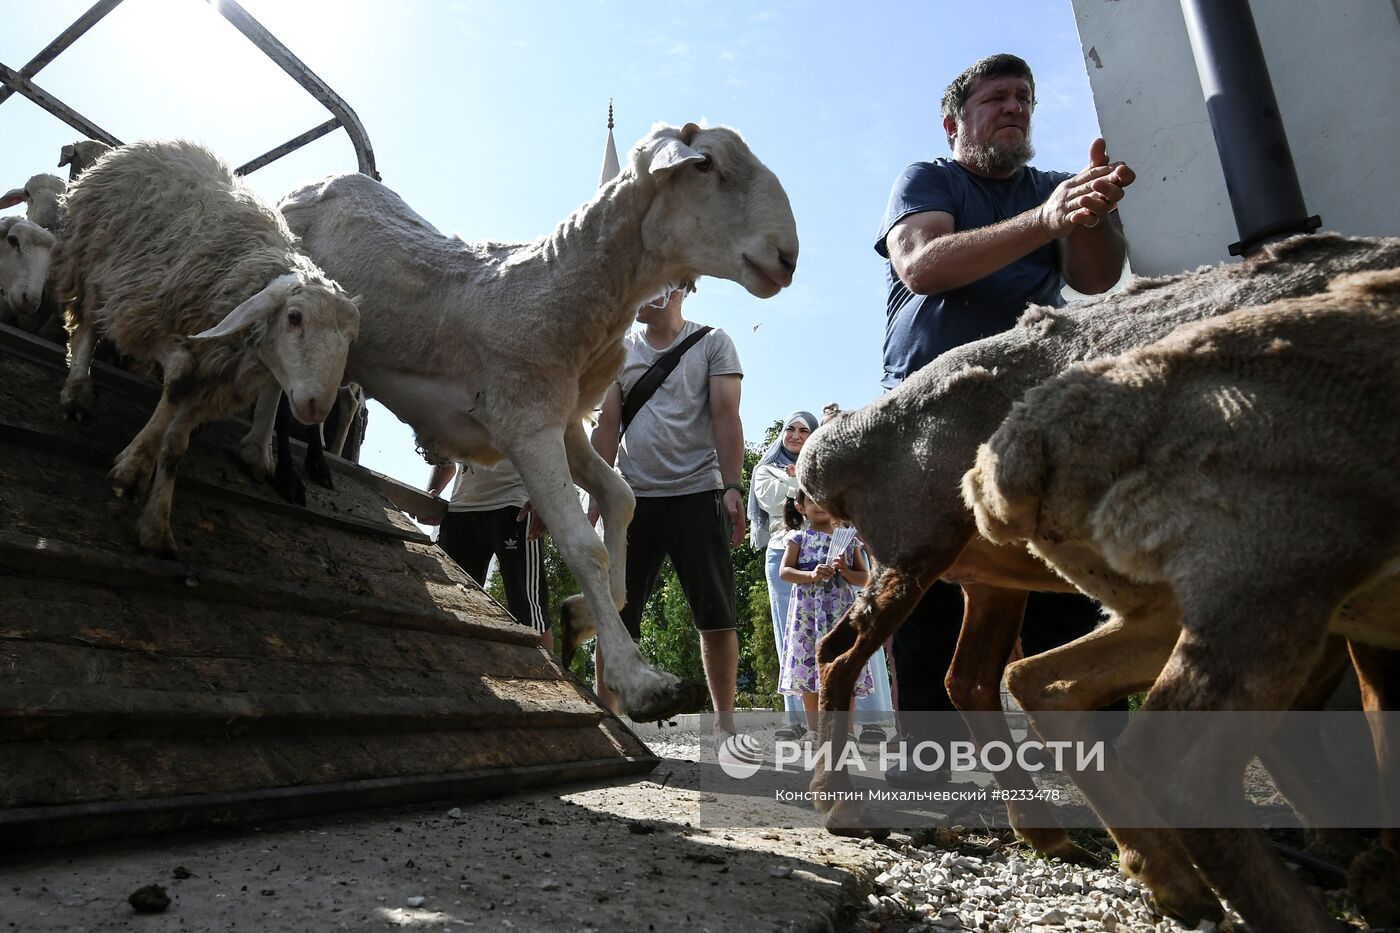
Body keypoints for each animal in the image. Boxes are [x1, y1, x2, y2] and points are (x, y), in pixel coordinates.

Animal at [56, 137, 361, 551]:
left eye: (350, 338)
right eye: (295, 317)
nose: (317, 407)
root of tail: (134, 147)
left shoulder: (216, 380)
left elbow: (176, 446)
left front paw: (156, 521)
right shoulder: (153, 313)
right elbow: (180, 377)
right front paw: (133, 466)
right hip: (95, 256)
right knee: (86, 322)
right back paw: (77, 391)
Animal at [277, 121, 795, 717]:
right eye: (705, 164)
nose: (787, 255)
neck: (561, 283)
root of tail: (316, 181)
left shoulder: (563, 422)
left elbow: (621, 498)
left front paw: (579, 618)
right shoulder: (527, 423)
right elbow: (583, 545)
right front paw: (641, 682)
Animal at [963, 264, 1400, 930]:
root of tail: (1006, 462)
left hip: (1171, 603)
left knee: (1044, 681)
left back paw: (1173, 881)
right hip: (1270, 579)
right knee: (1176, 762)